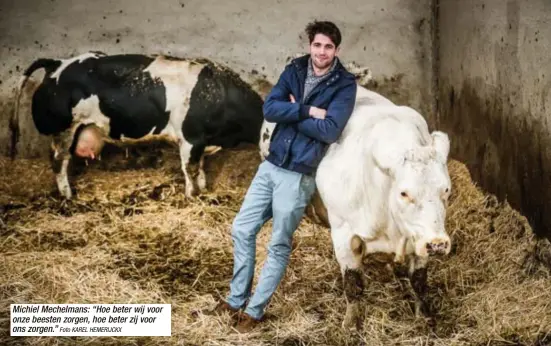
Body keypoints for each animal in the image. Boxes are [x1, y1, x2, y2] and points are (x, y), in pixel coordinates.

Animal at [9, 51, 266, 197]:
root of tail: (57, 62)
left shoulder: (201, 141)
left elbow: (200, 167)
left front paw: (202, 188)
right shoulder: (190, 138)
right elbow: (190, 169)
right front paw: (192, 196)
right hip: (64, 130)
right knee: (59, 162)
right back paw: (67, 196)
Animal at [314, 85, 452, 328]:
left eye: (446, 189)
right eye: (404, 193)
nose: (437, 243)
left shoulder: (419, 236)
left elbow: (419, 280)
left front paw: (424, 315)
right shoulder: (342, 232)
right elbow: (353, 283)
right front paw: (351, 323)